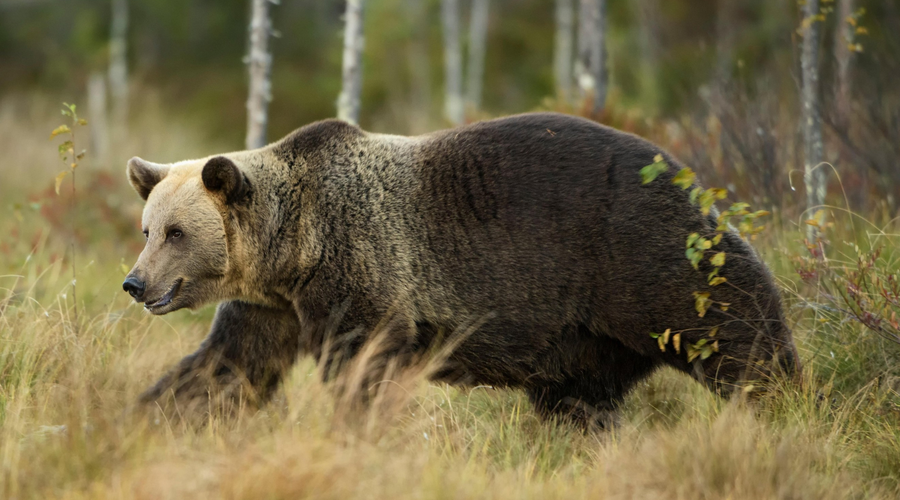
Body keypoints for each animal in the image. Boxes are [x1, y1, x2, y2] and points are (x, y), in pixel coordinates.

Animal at [123, 113, 800, 426]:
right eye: (147, 230)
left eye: (177, 233)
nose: (136, 283)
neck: (293, 248)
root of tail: (689, 173)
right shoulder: (274, 305)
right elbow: (228, 366)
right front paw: (152, 414)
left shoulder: (360, 267)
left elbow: (363, 363)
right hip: (585, 337)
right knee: (579, 400)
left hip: (641, 252)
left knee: (735, 329)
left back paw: (784, 401)